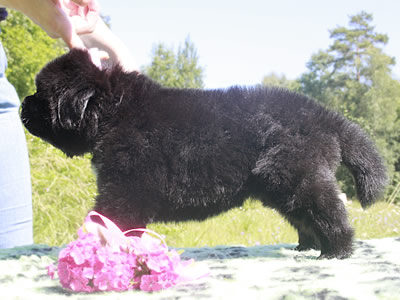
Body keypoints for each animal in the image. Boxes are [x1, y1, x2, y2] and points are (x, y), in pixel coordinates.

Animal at [21, 49, 388, 258]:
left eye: (41, 94)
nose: (23, 104)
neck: (114, 111)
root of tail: (325, 115)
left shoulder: (124, 189)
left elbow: (109, 222)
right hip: (283, 185)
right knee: (307, 216)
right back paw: (308, 248)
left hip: (297, 178)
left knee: (331, 212)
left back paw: (336, 252)